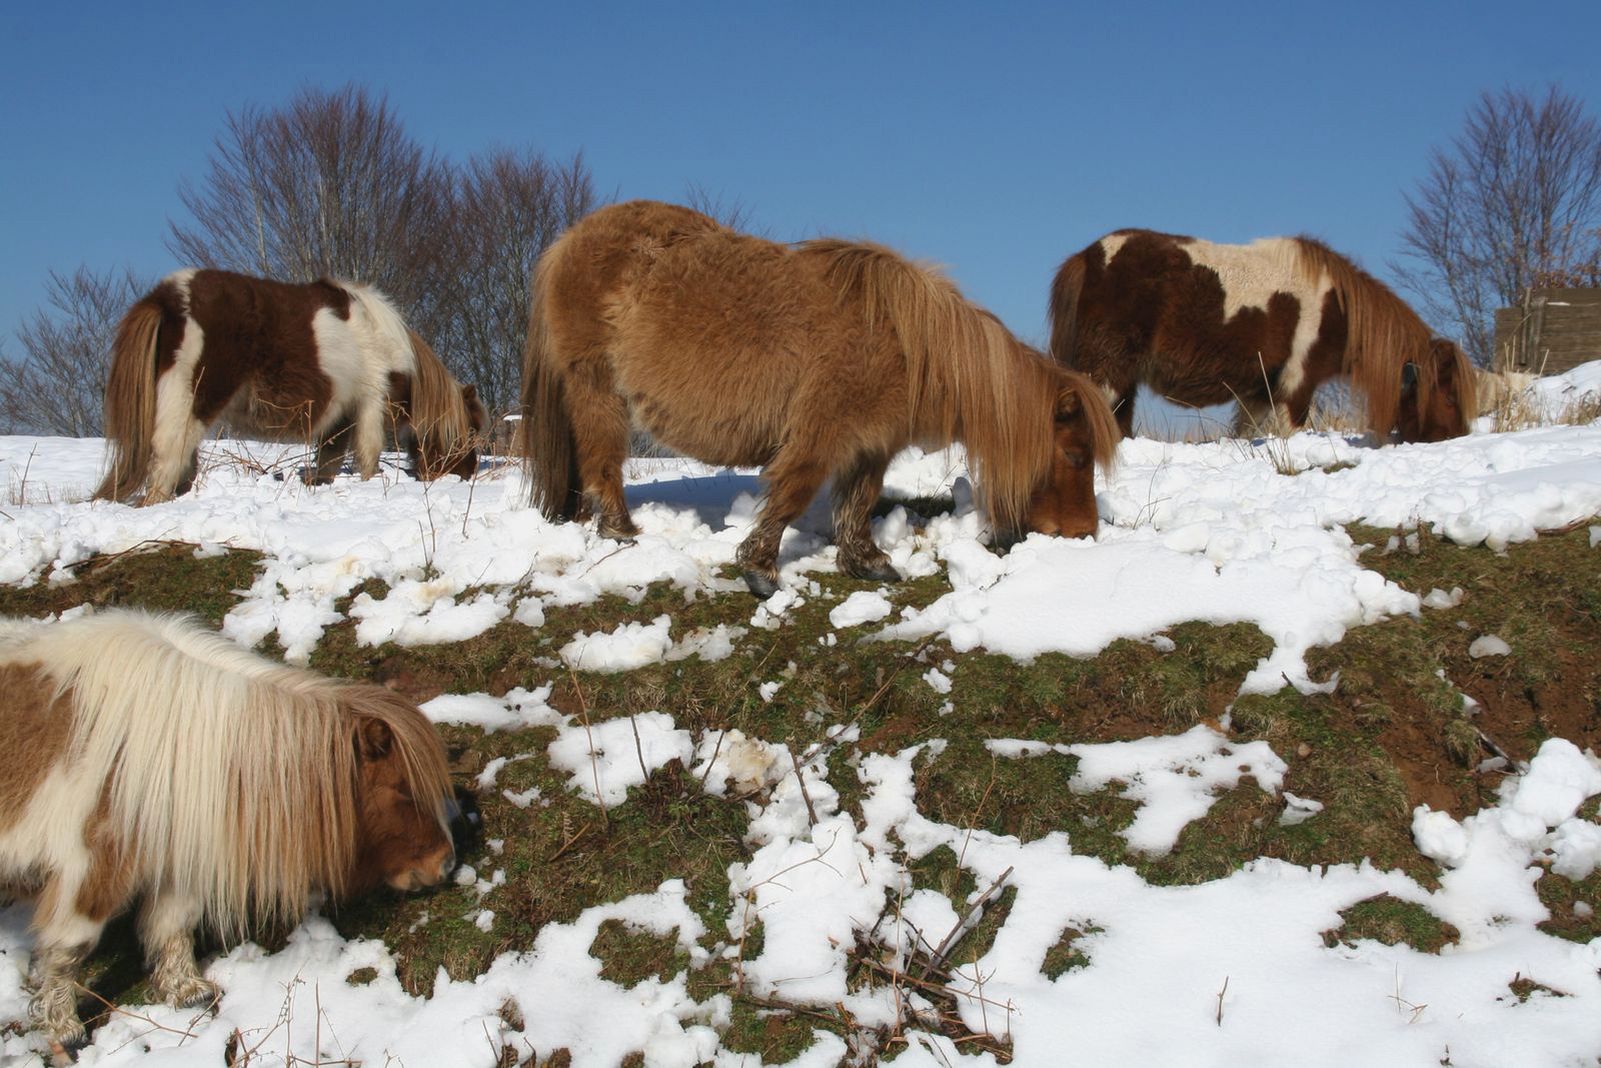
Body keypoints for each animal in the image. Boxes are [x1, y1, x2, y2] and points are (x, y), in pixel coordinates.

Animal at [0, 605, 461, 1050]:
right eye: (402, 791)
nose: (445, 864)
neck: (170, 744)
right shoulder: (89, 867)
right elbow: (70, 948)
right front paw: (64, 1029)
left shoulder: (176, 854)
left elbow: (172, 924)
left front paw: (187, 991)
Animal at [96, 265, 483, 502]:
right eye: (471, 433)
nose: (468, 475)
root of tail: (167, 297)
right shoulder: (372, 403)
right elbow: (369, 455)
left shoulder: (341, 417)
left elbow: (329, 461)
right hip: (192, 401)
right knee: (166, 460)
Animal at [518, 200, 1120, 598]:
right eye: (1074, 455)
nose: (1084, 533)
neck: (910, 345)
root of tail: (568, 242)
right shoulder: (821, 433)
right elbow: (794, 492)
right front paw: (761, 571)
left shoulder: (871, 444)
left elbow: (858, 501)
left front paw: (868, 562)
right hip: (599, 392)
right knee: (603, 463)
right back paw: (621, 531)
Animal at [1050, 232, 1472, 445]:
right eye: (1449, 396)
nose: (1459, 438)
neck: (1337, 308)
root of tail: (1088, 256)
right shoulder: (1296, 386)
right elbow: (1290, 432)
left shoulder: (1258, 392)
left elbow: (1245, 434)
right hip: (1106, 371)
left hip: (1125, 380)